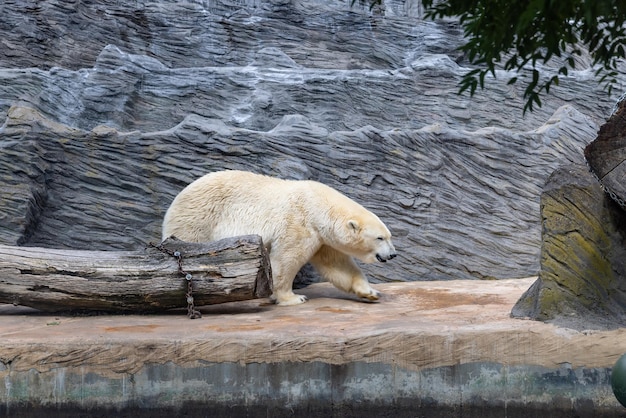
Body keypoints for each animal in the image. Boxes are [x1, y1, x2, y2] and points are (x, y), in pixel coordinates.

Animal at [162, 171, 394, 306]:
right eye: (380, 238)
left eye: (389, 236)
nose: (393, 254)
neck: (318, 205)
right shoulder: (299, 223)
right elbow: (285, 260)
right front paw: (293, 297)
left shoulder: (321, 238)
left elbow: (337, 265)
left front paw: (370, 292)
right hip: (198, 220)